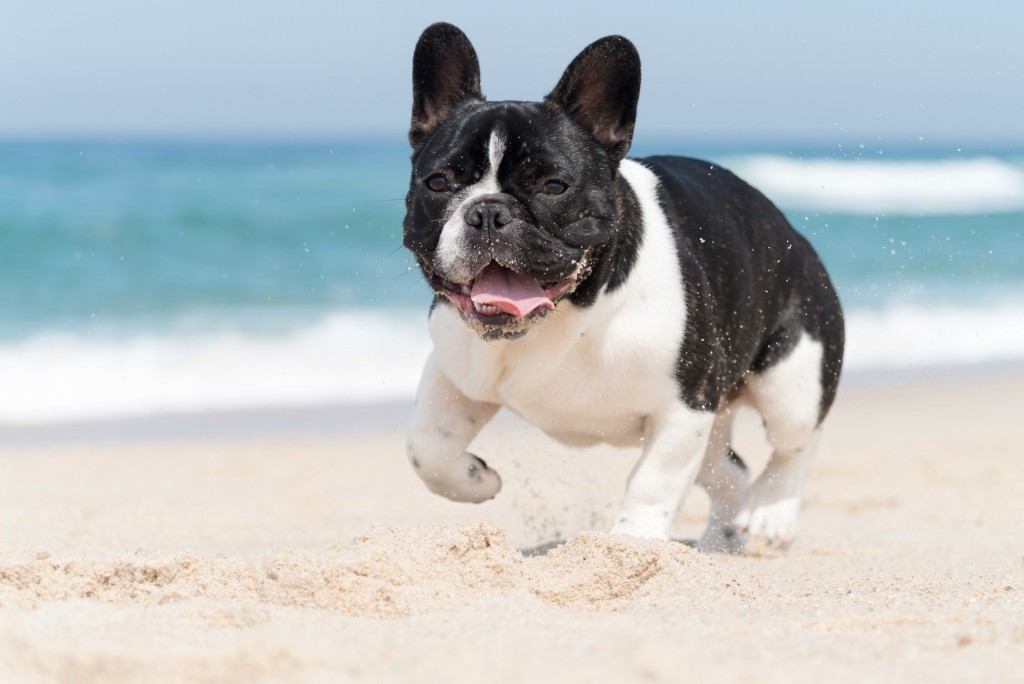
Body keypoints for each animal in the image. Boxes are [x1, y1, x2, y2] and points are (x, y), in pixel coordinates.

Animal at [399, 24, 839, 552]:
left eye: (554, 186)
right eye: (438, 182)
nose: (488, 211)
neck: (570, 313)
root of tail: (793, 234)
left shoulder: (684, 406)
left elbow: (653, 482)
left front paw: (632, 547)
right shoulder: (454, 369)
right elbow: (426, 445)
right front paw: (474, 478)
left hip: (790, 379)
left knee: (798, 443)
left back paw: (772, 516)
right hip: (715, 421)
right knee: (729, 471)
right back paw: (718, 542)